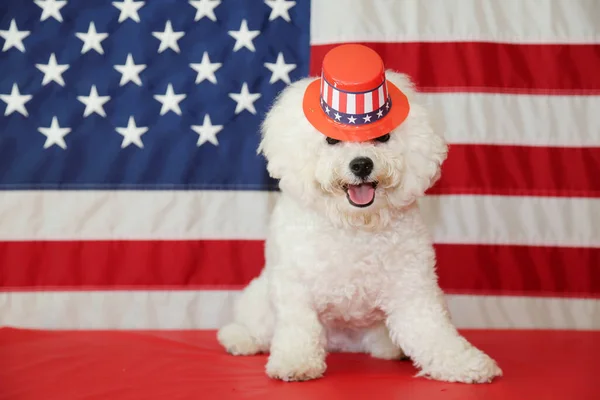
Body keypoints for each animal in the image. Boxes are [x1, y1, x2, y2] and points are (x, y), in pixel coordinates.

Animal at [216, 43, 502, 384]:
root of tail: (343, 343)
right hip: (261, 298)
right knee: (256, 325)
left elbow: (434, 332)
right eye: (331, 139)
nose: (362, 164)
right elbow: (298, 328)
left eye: (384, 136)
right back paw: (238, 339)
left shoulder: (413, 289)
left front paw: (465, 363)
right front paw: (296, 362)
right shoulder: (294, 286)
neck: (355, 226)